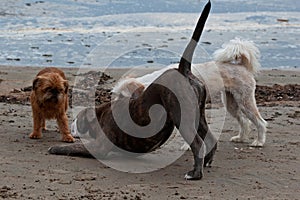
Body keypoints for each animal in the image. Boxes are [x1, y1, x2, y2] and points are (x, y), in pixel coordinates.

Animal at [48, 1, 216, 180]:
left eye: (78, 119)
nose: (71, 123)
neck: (100, 114)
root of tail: (183, 70)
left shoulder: (99, 147)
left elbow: (74, 148)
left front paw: (56, 148)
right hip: (198, 114)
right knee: (210, 139)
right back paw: (206, 163)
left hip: (183, 117)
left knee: (198, 144)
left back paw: (195, 173)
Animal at [112, 38, 268, 147]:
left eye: (123, 97)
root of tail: (242, 66)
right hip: (232, 104)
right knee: (244, 121)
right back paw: (240, 138)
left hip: (245, 101)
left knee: (260, 122)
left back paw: (259, 142)